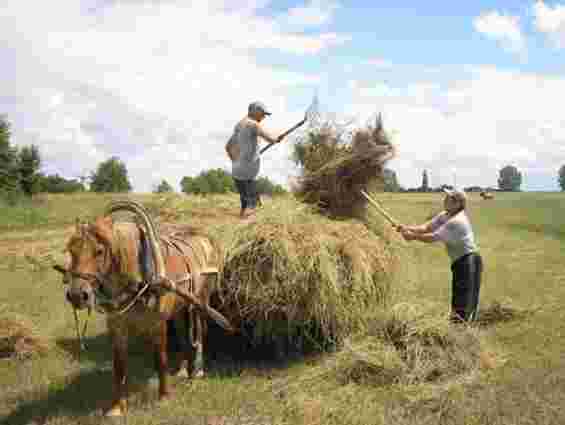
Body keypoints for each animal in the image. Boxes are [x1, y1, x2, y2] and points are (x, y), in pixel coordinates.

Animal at [56, 200, 231, 416]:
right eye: (71, 251)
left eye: (99, 251)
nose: (77, 295)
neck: (139, 280)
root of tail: (207, 238)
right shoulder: (117, 326)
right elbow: (119, 366)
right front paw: (117, 407)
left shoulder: (157, 323)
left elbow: (160, 359)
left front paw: (163, 397)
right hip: (179, 308)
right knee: (183, 333)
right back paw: (183, 369)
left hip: (200, 301)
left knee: (199, 333)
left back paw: (197, 371)